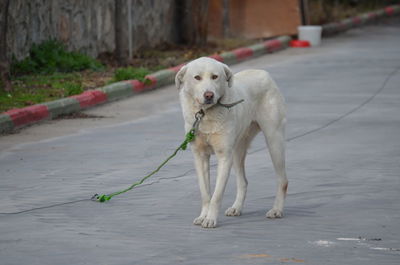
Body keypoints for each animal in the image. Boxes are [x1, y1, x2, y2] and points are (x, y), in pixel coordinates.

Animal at [176, 57, 288, 227]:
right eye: (197, 78)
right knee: (243, 182)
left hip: (274, 140)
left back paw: (276, 209)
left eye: (215, 77)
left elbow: (216, 195)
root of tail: (263, 73)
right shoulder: (200, 157)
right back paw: (237, 207)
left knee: (282, 180)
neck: (205, 115)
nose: (209, 95)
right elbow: (205, 193)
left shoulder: (224, 157)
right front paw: (203, 216)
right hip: (237, 151)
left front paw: (210, 219)